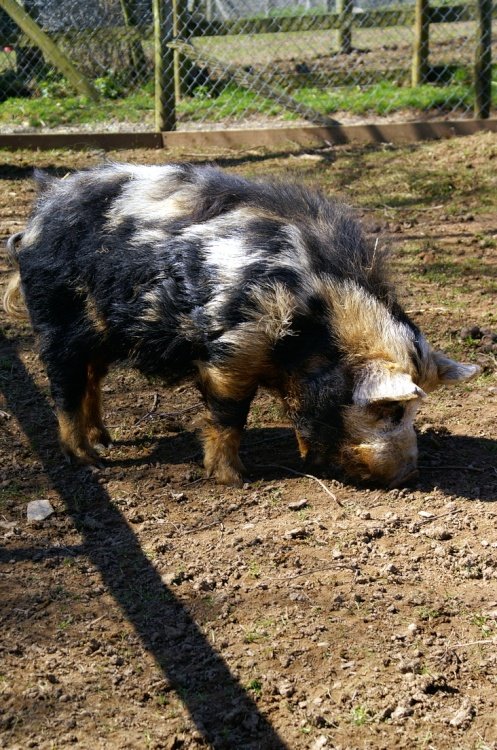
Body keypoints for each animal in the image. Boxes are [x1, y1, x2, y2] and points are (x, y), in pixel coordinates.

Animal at [3, 163, 480, 487]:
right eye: (392, 410)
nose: (408, 475)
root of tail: (39, 215)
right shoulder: (232, 349)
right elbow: (229, 415)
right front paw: (236, 478)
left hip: (99, 334)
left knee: (92, 379)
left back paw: (105, 440)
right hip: (54, 319)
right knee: (64, 386)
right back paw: (88, 460)